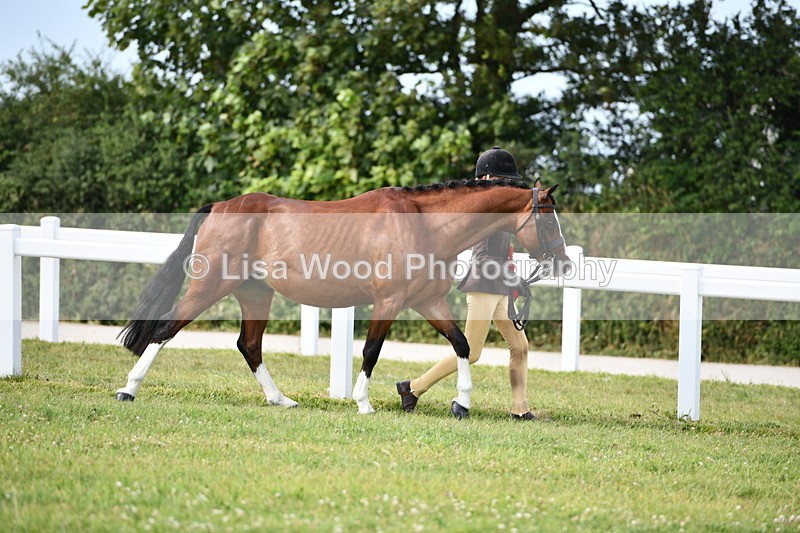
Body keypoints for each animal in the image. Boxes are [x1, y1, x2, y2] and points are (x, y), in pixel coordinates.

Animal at [115, 177, 569, 417]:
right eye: (549, 222)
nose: (563, 264)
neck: (423, 223)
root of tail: (221, 206)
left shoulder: (427, 302)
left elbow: (460, 344)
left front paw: (461, 403)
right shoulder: (389, 302)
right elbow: (371, 350)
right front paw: (363, 403)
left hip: (255, 295)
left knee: (250, 345)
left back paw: (281, 399)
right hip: (210, 288)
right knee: (164, 330)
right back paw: (128, 390)